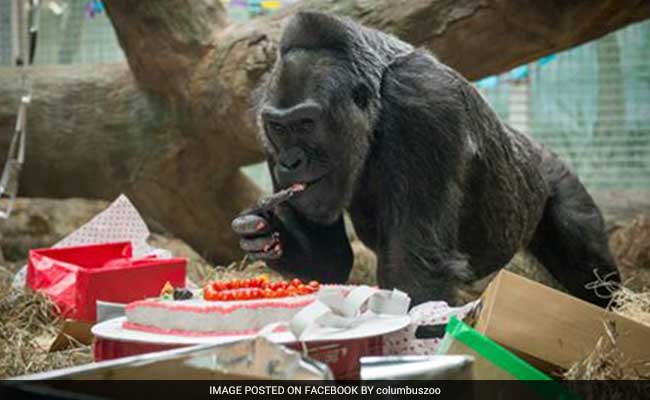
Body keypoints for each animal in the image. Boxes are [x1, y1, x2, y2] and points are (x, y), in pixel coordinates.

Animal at [230, 11, 616, 306]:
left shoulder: (424, 104)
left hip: (554, 176)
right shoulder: (262, 109)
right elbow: (331, 261)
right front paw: (268, 234)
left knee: (591, 271)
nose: (290, 163)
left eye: (306, 124)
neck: (376, 107)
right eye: (278, 128)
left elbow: (415, 270)